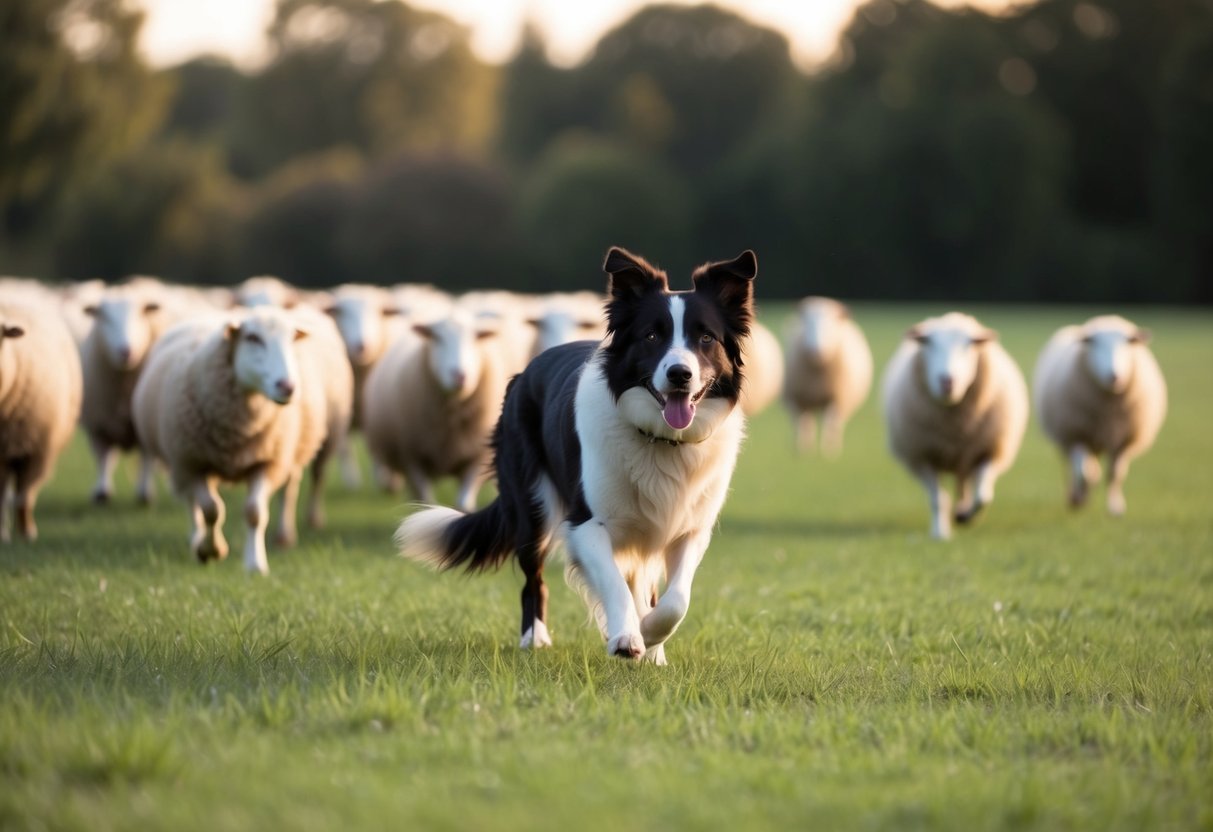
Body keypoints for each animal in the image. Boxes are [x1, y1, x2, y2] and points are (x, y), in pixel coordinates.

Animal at [132, 308, 328, 574]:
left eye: (291, 340)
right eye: (253, 338)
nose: (286, 386)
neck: (240, 433)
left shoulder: (267, 462)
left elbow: (255, 513)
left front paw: (255, 563)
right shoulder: (193, 462)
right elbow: (211, 510)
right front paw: (211, 551)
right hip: (181, 463)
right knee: (192, 503)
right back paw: (196, 539)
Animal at [363, 307, 509, 512]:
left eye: (475, 338)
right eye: (438, 338)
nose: (459, 375)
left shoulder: (476, 458)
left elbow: (463, 503)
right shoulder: (412, 458)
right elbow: (426, 502)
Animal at [782, 297, 873, 454]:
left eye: (829, 326)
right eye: (807, 323)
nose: (815, 351)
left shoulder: (836, 399)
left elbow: (829, 424)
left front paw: (827, 452)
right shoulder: (797, 400)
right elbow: (802, 425)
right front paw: (803, 451)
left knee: (834, 425)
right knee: (807, 423)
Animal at [881, 312, 1028, 540]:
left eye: (970, 344)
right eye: (928, 342)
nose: (947, 381)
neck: (955, 427)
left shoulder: (990, 452)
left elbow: (983, 496)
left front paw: (966, 517)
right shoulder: (922, 458)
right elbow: (937, 499)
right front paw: (940, 533)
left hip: (967, 457)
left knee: (966, 485)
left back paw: (962, 511)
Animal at [1033, 315, 1167, 515]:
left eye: (1128, 342)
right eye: (1093, 342)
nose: (1114, 376)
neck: (1108, 408)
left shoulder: (1123, 442)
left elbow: (1115, 474)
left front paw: (1115, 508)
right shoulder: (1077, 434)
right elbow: (1083, 474)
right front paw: (1080, 500)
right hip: (1069, 439)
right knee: (1072, 469)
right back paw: (1075, 496)